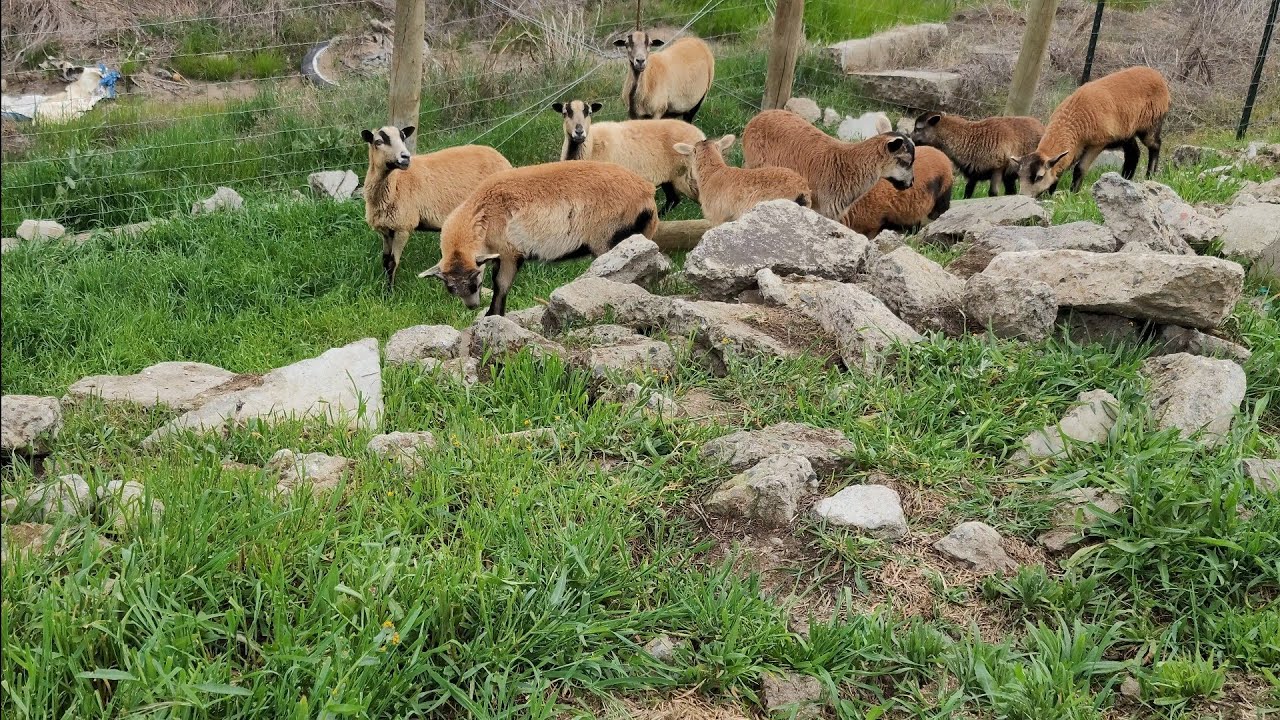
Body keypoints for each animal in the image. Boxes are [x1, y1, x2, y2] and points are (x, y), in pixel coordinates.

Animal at [361, 125, 512, 288]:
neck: (395, 184)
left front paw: (390, 291)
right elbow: (385, 261)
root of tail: (504, 160)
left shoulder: (403, 227)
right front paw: (384, 287)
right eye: (379, 142)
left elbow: (392, 263)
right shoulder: (386, 230)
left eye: (403, 138)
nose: (405, 157)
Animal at [418, 161, 658, 317]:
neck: (482, 210)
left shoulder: (509, 253)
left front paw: (493, 315)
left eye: (476, 281)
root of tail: (646, 192)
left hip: (609, 240)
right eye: (450, 288)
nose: (471, 306)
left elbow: (500, 285)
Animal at [551, 99, 704, 215]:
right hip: (670, 176)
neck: (591, 146)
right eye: (565, 113)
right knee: (673, 199)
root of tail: (699, 134)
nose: (579, 132)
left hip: (688, 176)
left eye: (589, 112)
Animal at [910, 112, 1044, 198]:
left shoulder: (998, 168)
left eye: (918, 128)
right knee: (1011, 191)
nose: (909, 139)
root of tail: (1041, 125)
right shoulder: (974, 171)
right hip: (1009, 176)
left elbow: (993, 193)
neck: (971, 138)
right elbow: (968, 192)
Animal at [1014, 66, 1170, 196]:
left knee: (1155, 145)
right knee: (1134, 154)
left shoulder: (1098, 143)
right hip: (1126, 133)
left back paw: (1150, 176)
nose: (1023, 197)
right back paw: (1126, 178)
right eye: (1019, 175)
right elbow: (1060, 170)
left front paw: (1073, 194)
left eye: (1039, 177)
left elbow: (1080, 169)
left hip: (1151, 124)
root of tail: (1156, 75)